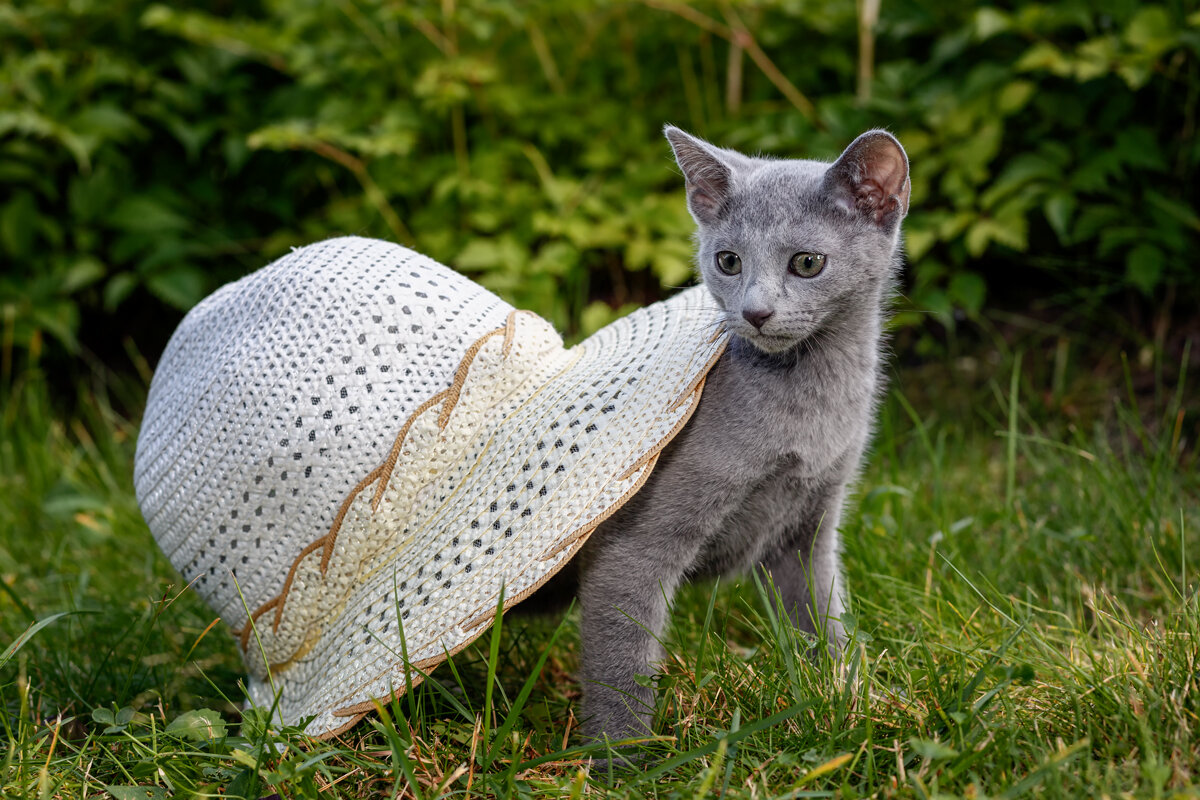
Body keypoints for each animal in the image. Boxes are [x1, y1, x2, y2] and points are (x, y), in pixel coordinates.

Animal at [520, 125, 902, 743]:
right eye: (728, 260)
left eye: (808, 263)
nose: (756, 312)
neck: (809, 404)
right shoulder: (631, 550)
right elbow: (622, 669)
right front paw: (620, 759)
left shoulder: (810, 529)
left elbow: (822, 620)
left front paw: (846, 702)